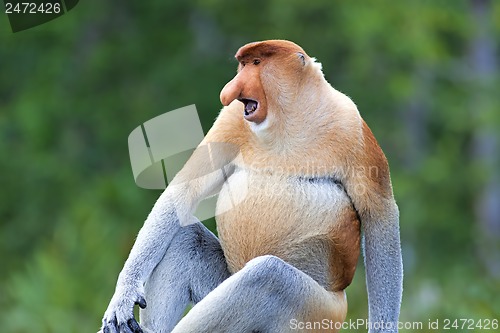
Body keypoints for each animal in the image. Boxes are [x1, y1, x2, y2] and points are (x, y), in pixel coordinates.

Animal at [98, 39, 402, 332]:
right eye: (242, 65)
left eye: (257, 62)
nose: (228, 91)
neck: (288, 119)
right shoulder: (232, 119)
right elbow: (185, 189)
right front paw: (123, 296)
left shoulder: (352, 127)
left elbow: (380, 215)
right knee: (188, 237)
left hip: (318, 313)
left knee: (266, 276)